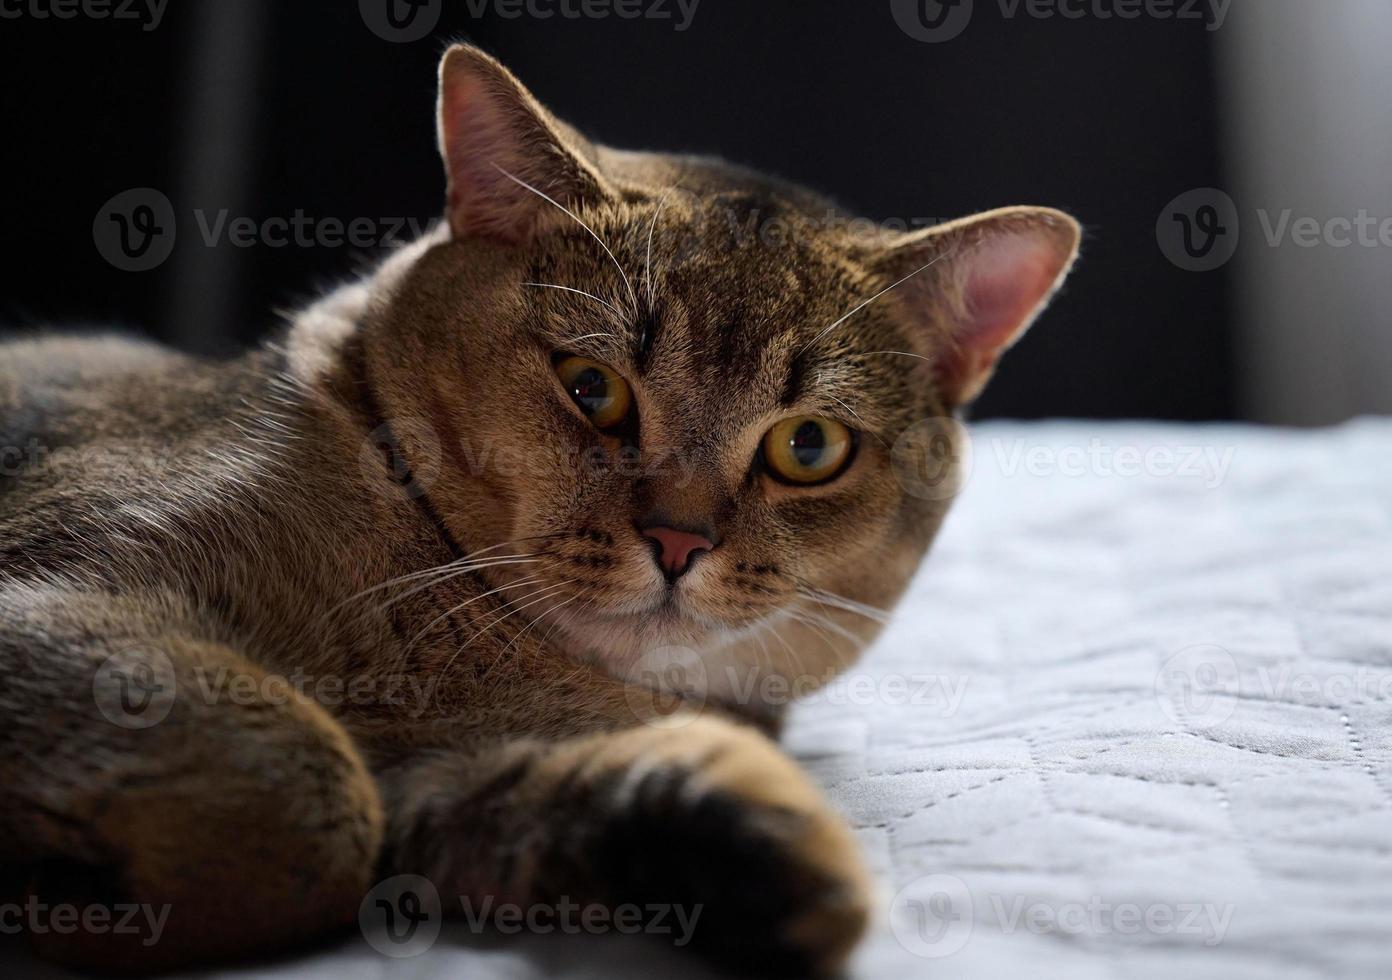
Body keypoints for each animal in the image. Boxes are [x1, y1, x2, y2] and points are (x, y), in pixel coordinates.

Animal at [0, 44, 1080, 974]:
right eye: (592, 388)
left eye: (807, 447)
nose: (679, 540)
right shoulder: (67, 600)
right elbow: (310, 794)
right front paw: (87, 906)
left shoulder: (450, 784)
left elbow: (588, 796)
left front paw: (781, 876)